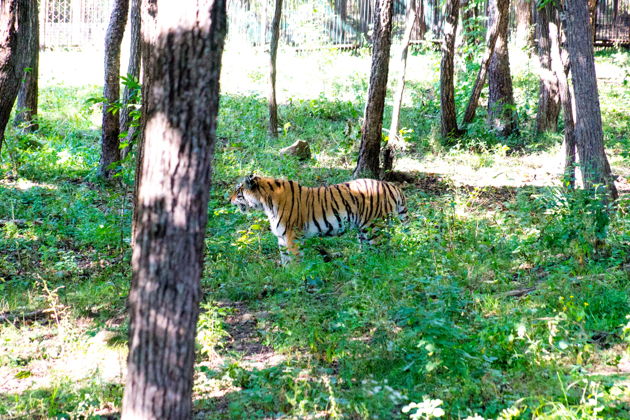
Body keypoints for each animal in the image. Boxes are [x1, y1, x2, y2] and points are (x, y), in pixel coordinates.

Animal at [230, 175, 408, 262]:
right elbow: (285, 259)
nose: (228, 199)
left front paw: (297, 278)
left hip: (374, 227)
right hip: (364, 229)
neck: (265, 203)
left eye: (238, 191)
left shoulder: (292, 236)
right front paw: (286, 277)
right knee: (368, 248)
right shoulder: (281, 237)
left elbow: (294, 259)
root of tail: (391, 185)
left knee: (382, 251)